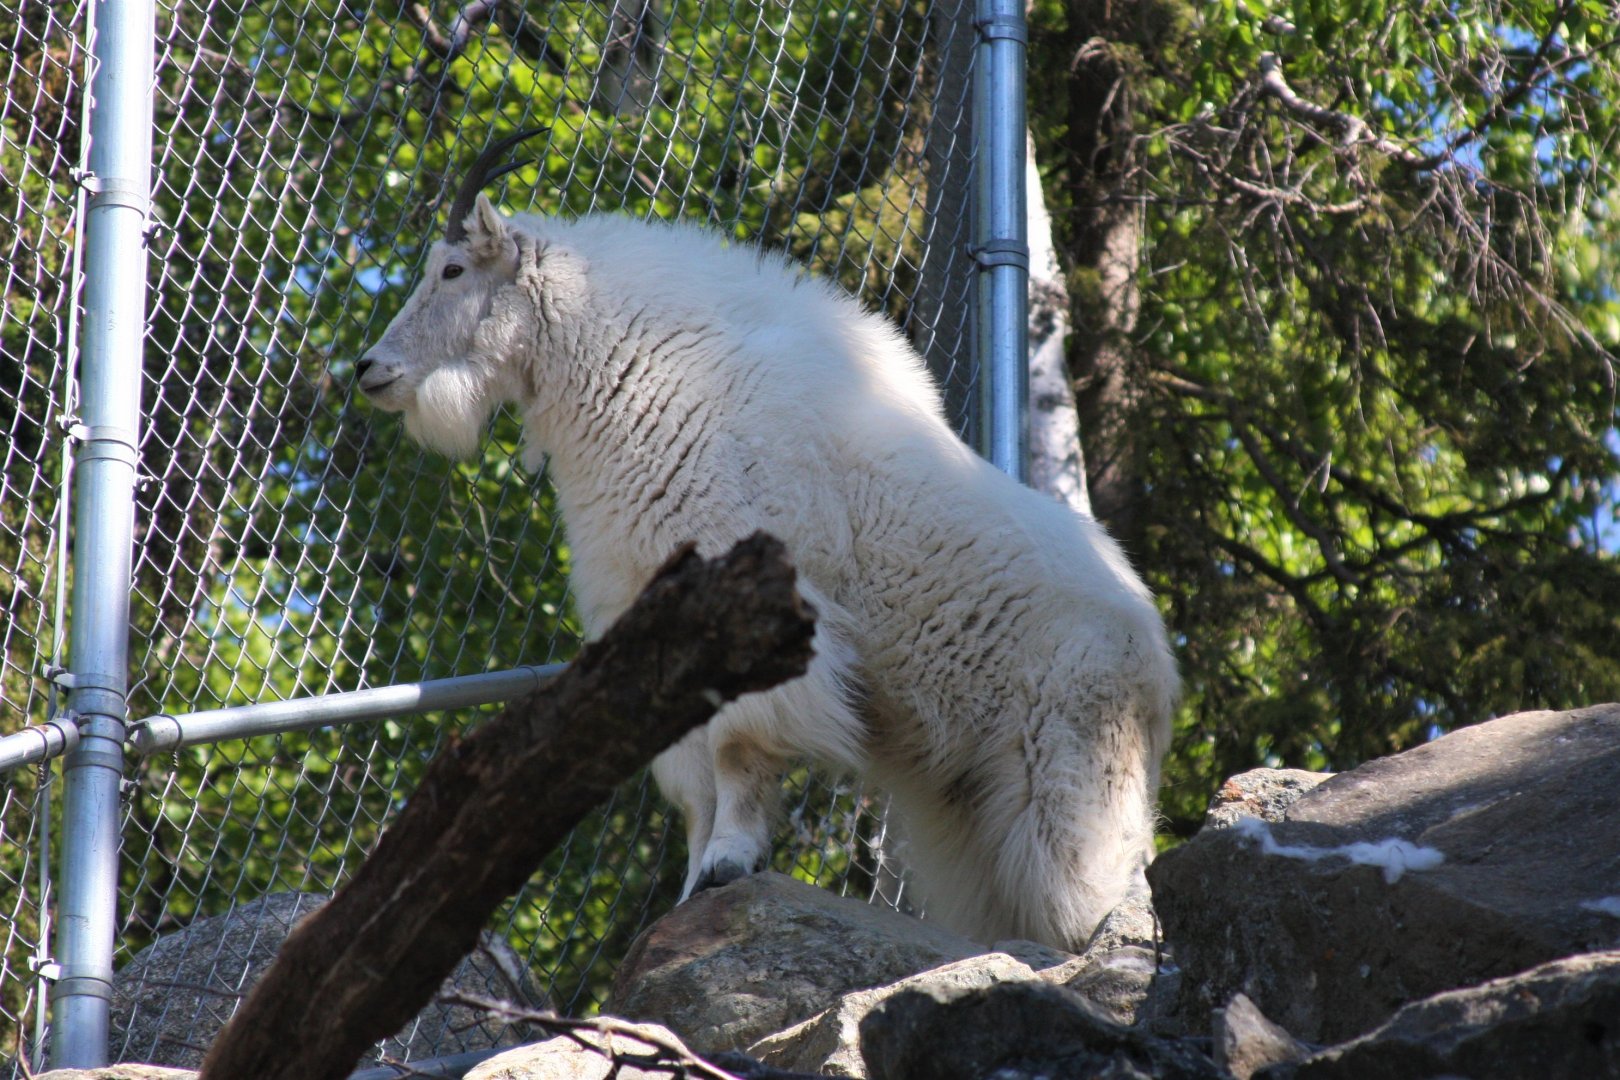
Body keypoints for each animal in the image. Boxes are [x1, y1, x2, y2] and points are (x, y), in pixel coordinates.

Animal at [354, 131, 1178, 950]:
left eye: (452, 270)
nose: (369, 369)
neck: (631, 372)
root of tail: (1158, 659)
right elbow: (692, 785)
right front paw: (689, 888)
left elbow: (736, 751)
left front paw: (728, 863)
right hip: (966, 802)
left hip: (1071, 763)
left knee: (1094, 886)